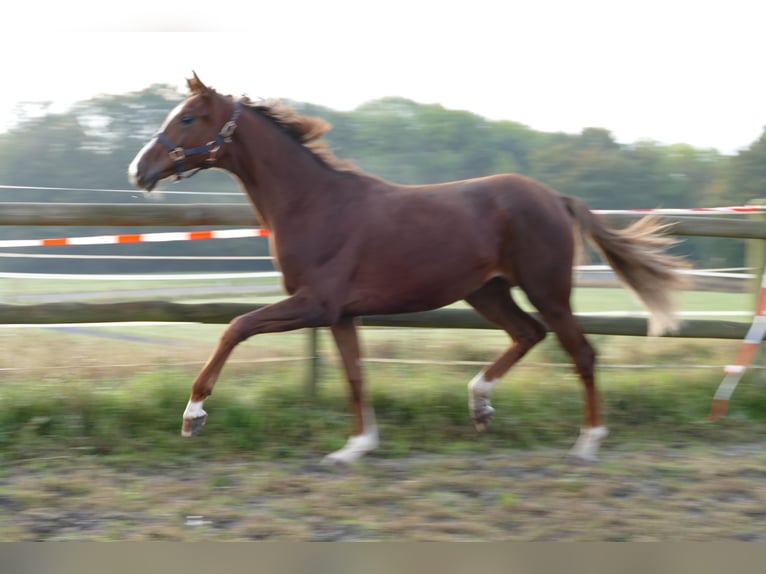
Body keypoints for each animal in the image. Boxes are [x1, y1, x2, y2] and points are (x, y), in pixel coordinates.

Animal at [127, 75, 688, 464]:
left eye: (187, 119)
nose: (139, 170)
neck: (313, 203)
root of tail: (555, 196)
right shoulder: (340, 314)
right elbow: (355, 376)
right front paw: (355, 448)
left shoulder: (317, 304)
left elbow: (235, 326)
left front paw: (193, 415)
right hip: (487, 291)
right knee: (528, 334)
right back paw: (480, 404)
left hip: (546, 288)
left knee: (582, 353)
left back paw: (587, 443)